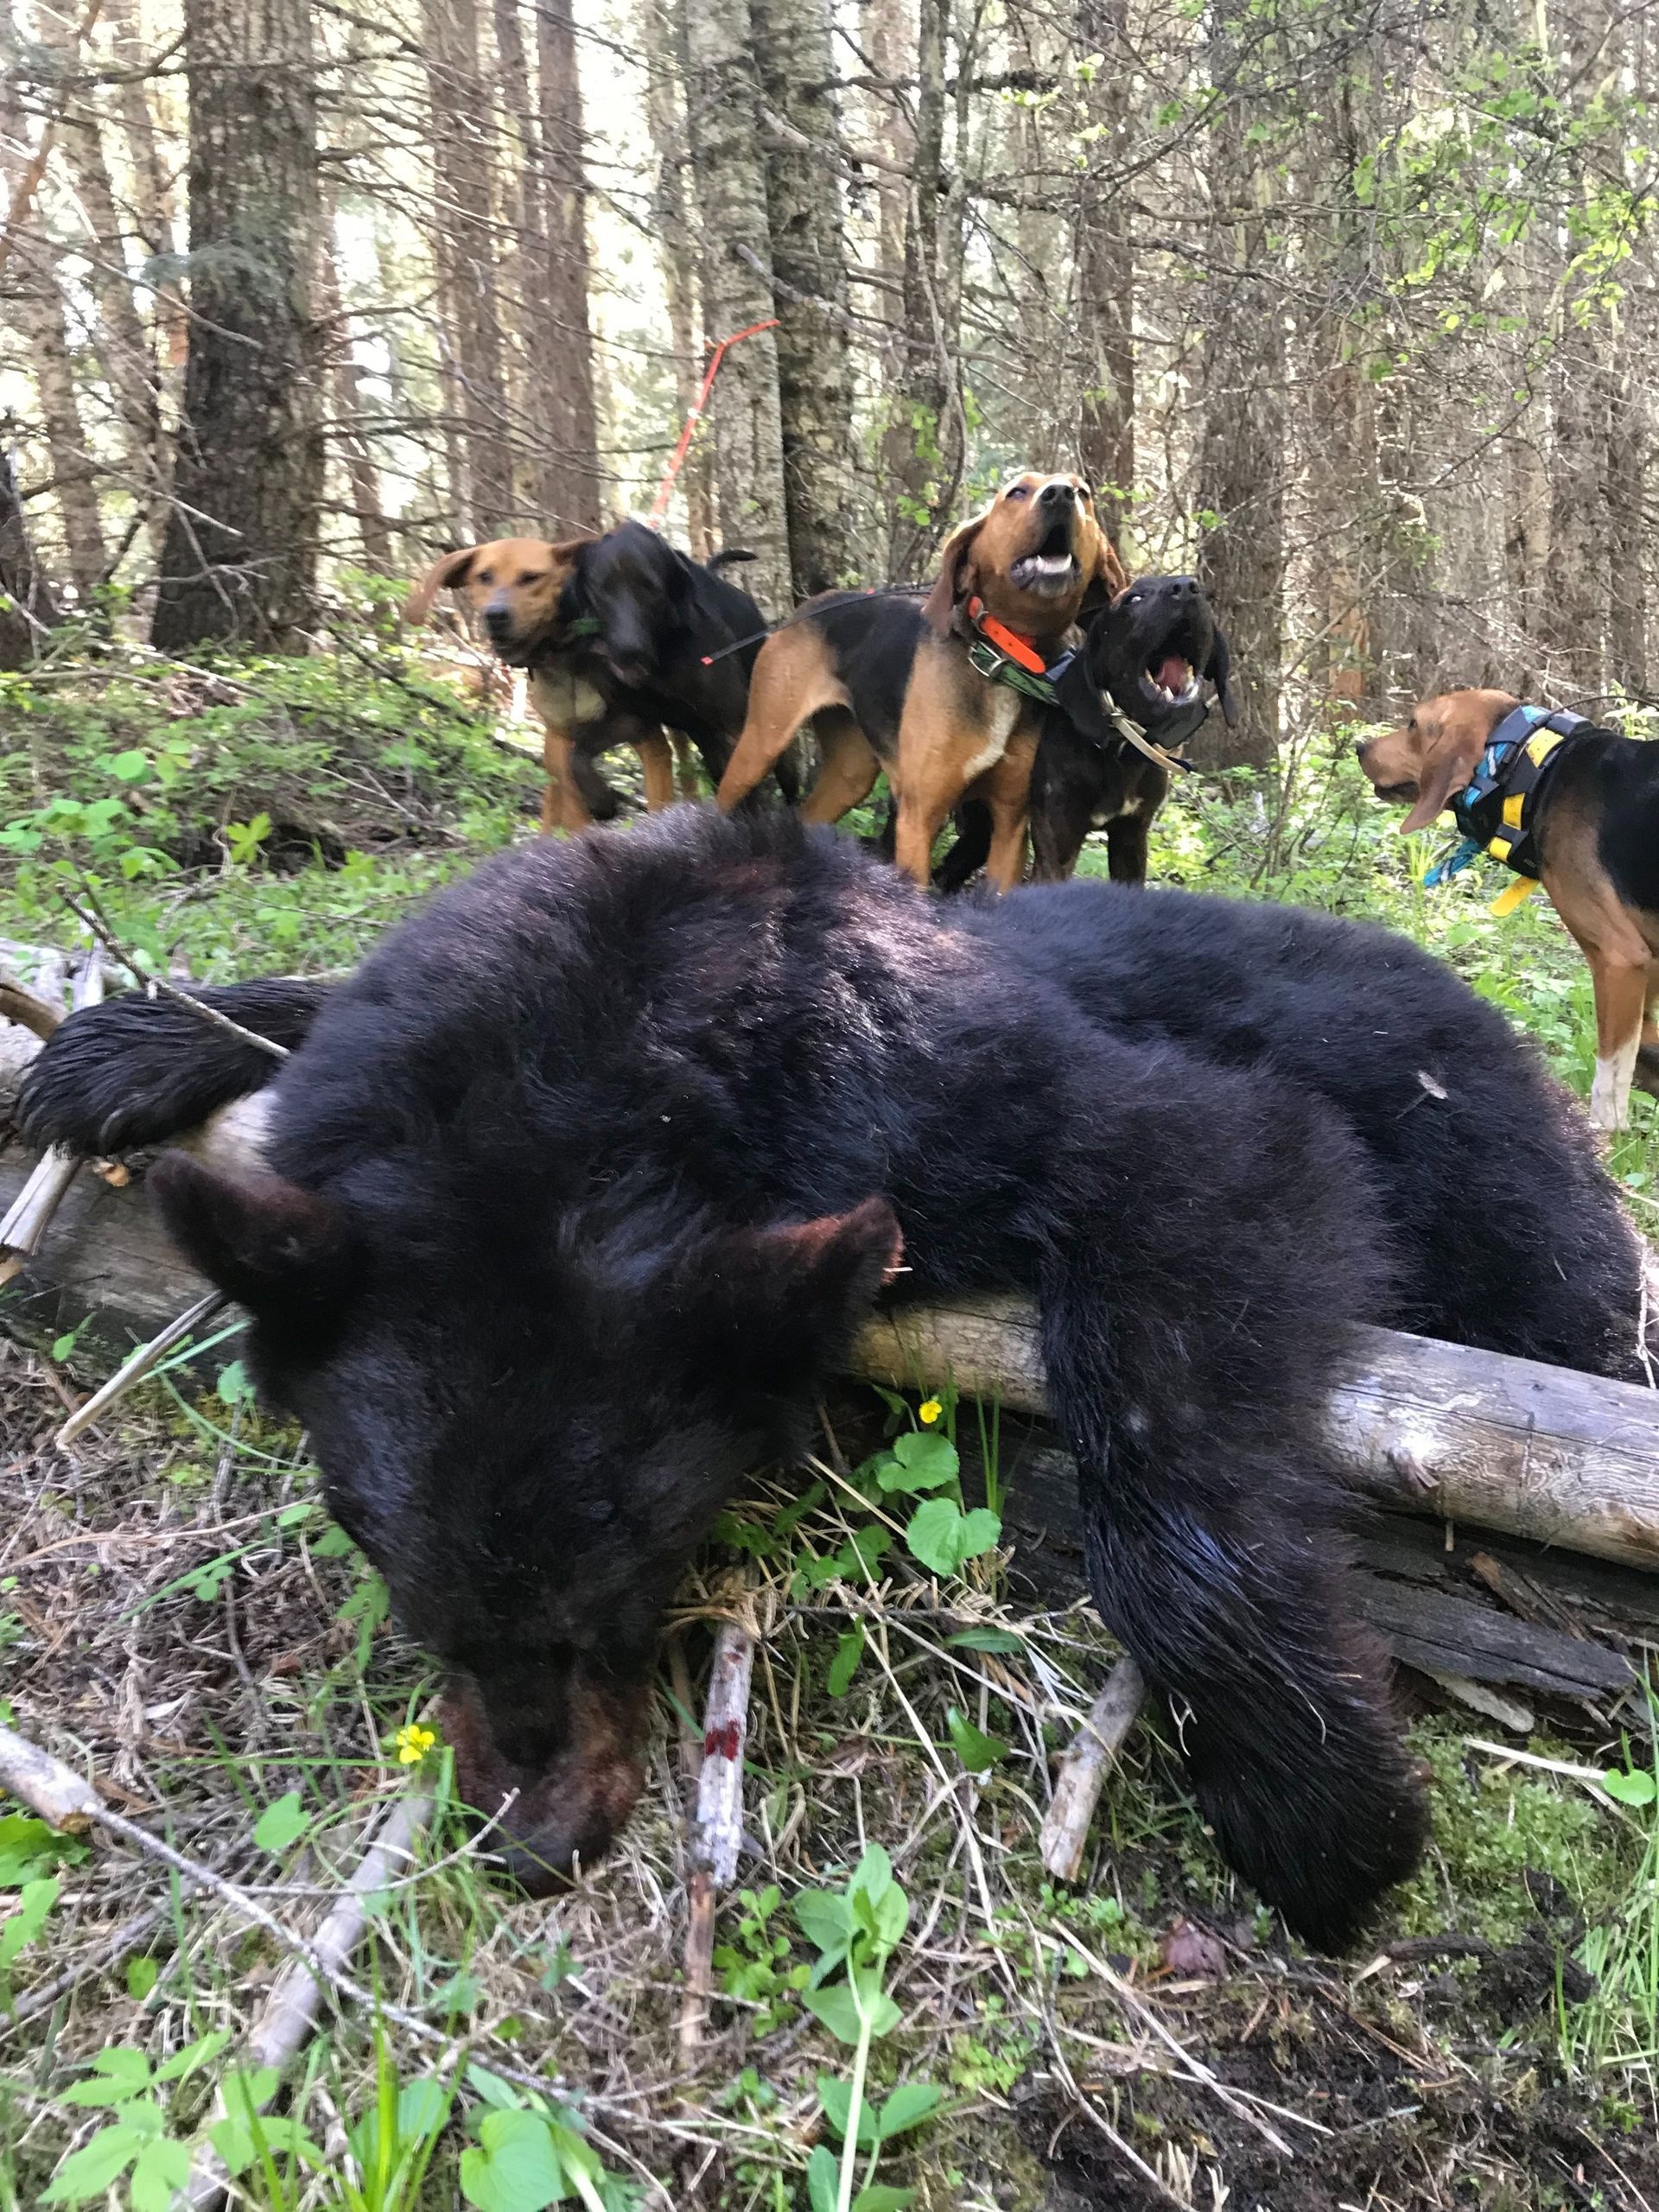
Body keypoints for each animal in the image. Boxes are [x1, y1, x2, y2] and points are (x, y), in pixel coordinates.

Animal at [18, 805, 1646, 1949]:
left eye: (635, 1561)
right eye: (383, 1553)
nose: (533, 1842)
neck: (592, 1075)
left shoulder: (961, 1095)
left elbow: (1196, 1203)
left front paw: (1315, 1797)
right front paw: (122, 1040)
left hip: (1500, 1174)